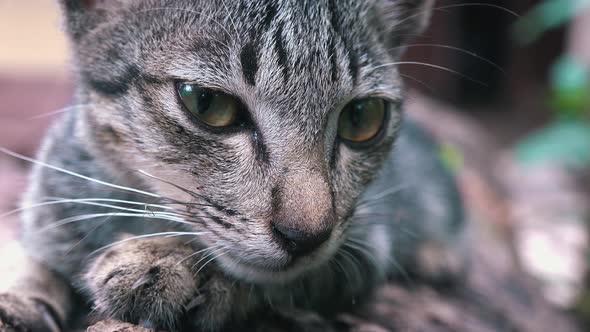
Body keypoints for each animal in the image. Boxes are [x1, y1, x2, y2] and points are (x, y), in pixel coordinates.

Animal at [0, 0, 468, 330]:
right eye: (207, 103)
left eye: (362, 117)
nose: (305, 237)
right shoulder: (46, 206)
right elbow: (28, 255)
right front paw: (19, 296)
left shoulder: (363, 250)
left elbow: (279, 279)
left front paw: (175, 264)